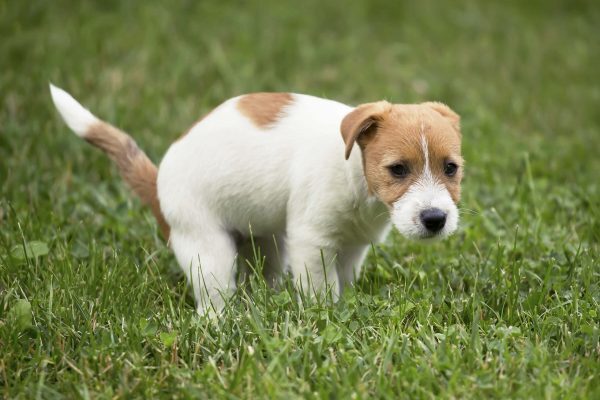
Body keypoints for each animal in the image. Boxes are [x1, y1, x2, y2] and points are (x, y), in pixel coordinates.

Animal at [51, 84, 464, 316]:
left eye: (451, 168)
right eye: (397, 170)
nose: (435, 219)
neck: (356, 175)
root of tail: (157, 185)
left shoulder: (352, 245)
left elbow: (342, 280)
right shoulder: (312, 242)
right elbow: (321, 289)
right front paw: (325, 315)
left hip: (267, 243)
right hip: (208, 251)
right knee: (212, 301)